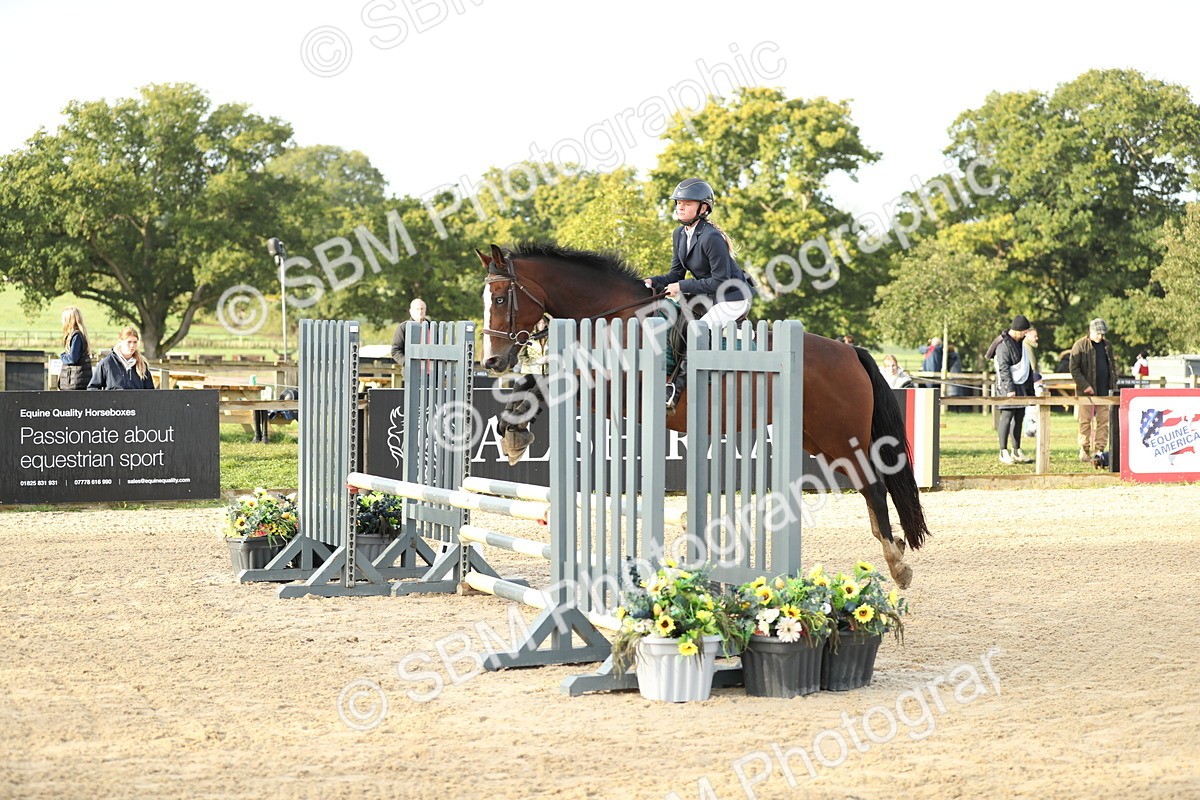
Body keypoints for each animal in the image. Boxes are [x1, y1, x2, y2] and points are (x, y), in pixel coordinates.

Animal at [476, 242, 929, 588]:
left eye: (499, 299)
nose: (493, 361)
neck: (615, 316)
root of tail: (850, 351)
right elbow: (531, 383)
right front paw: (513, 431)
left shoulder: (607, 388)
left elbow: (542, 385)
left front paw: (513, 434)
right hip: (817, 440)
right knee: (867, 486)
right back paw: (894, 551)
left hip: (840, 435)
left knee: (875, 486)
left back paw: (898, 565)